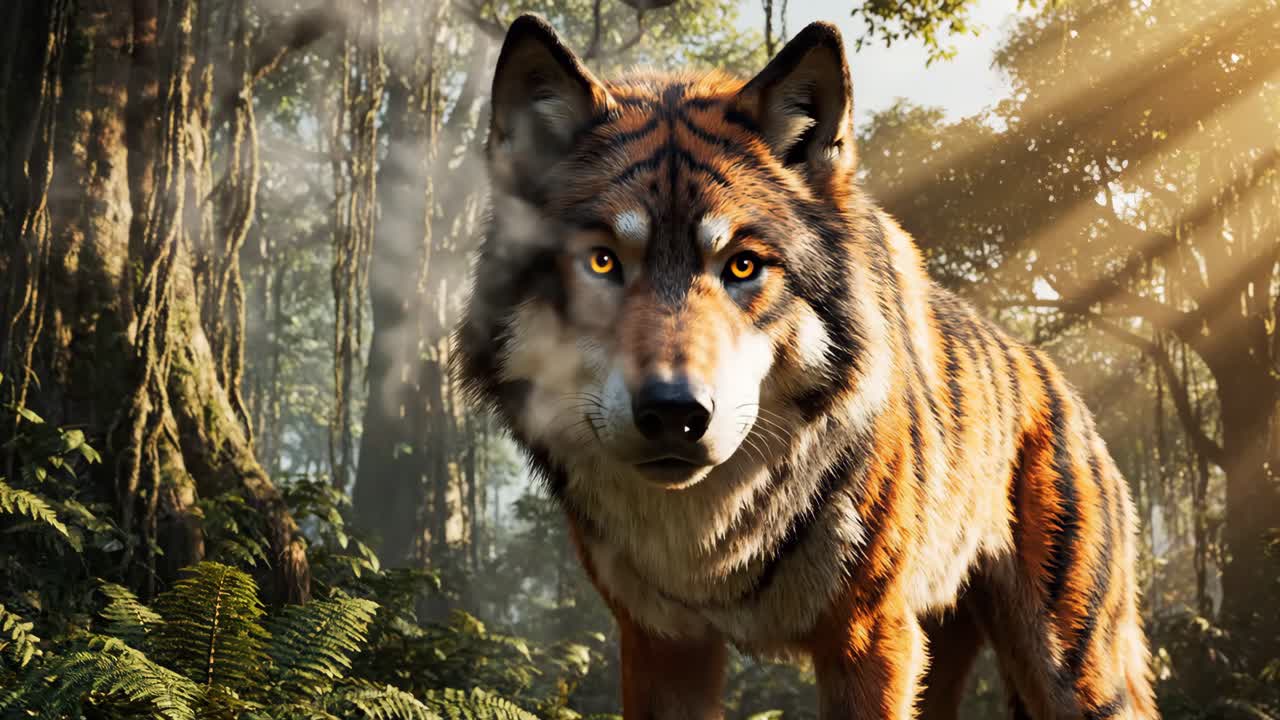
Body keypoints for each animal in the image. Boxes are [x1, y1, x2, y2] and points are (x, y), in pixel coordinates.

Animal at [455, 14, 1157, 720]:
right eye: (602, 261)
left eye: (742, 265)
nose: (675, 413)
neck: (710, 536)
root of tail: (1056, 380)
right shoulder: (662, 644)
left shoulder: (868, 638)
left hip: (1073, 675)